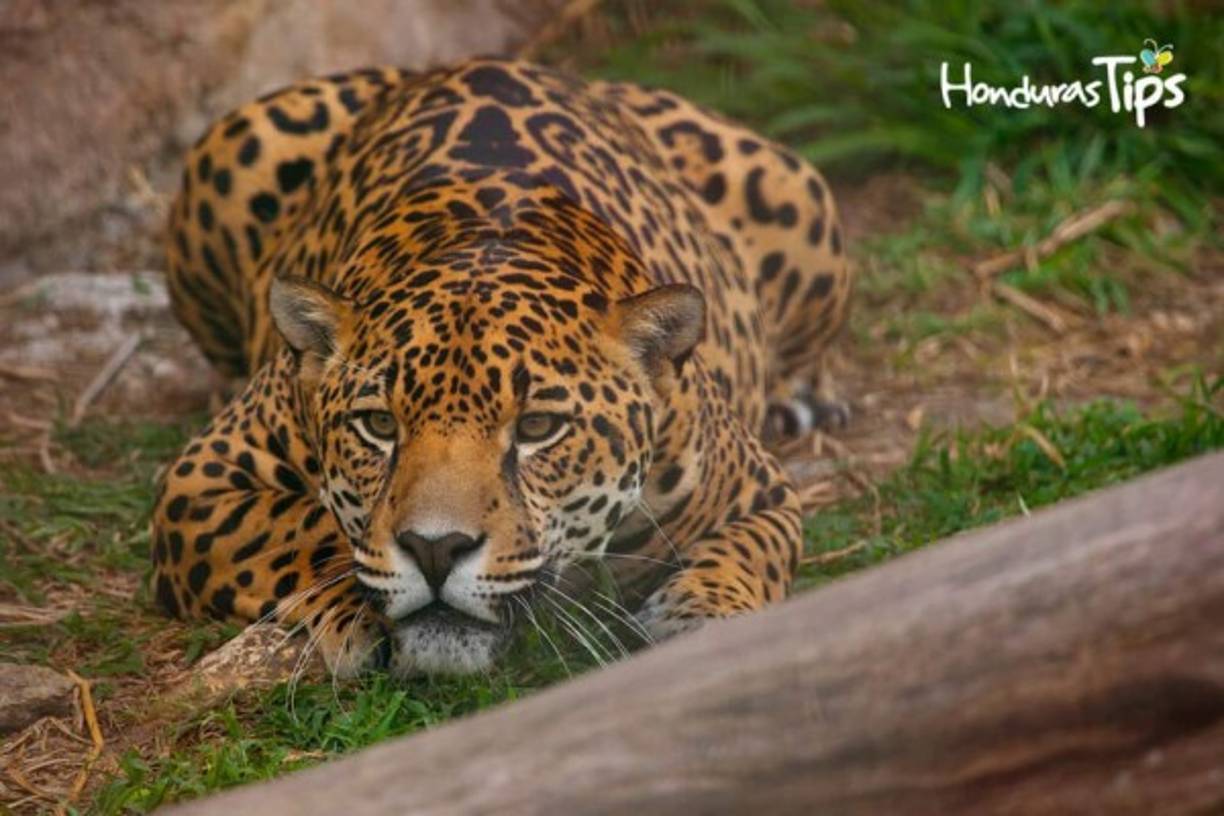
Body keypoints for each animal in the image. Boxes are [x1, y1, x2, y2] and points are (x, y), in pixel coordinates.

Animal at [151, 58, 851, 676]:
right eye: (379, 425)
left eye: (539, 428)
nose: (435, 551)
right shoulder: (196, 482)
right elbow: (304, 523)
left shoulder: (759, 492)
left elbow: (748, 555)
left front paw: (701, 613)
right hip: (237, 141)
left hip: (798, 192)